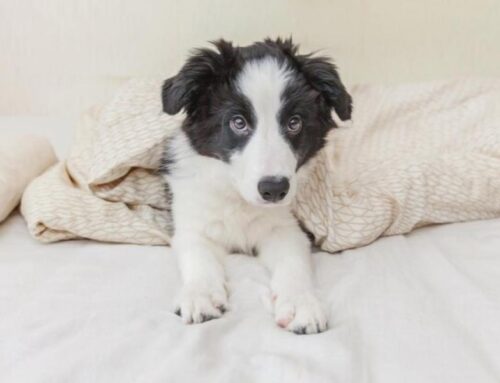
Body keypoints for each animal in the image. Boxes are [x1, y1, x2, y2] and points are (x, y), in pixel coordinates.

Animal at [160, 37, 352, 334]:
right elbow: (198, 256)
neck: (240, 199)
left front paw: (300, 303)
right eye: (238, 122)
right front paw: (200, 295)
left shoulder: (286, 229)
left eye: (294, 122)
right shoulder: (192, 225)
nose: (274, 189)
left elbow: (293, 264)